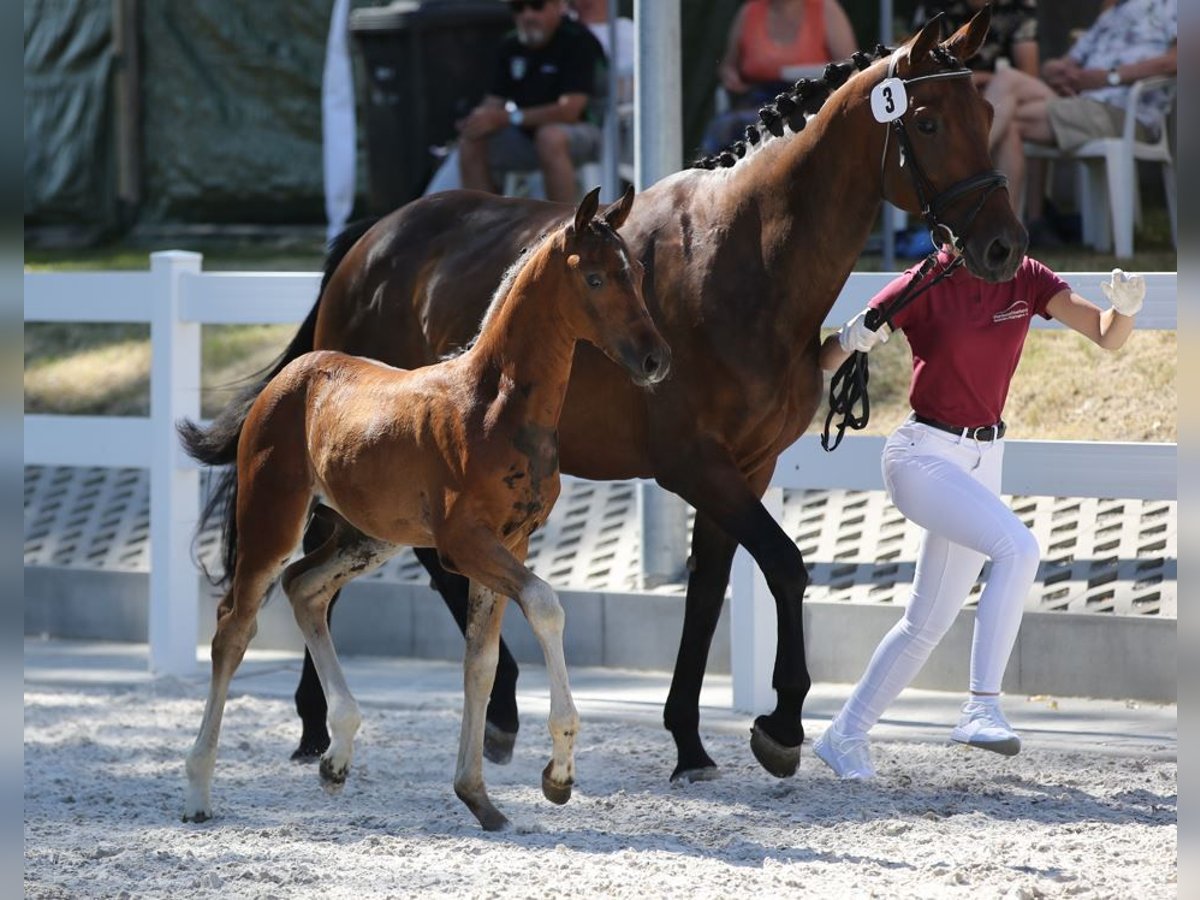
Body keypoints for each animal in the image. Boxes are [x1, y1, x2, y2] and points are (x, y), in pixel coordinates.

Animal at [178, 188, 672, 830]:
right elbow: (545, 606)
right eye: (594, 277)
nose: (656, 359)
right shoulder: (466, 545)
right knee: (234, 627)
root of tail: (290, 374)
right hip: (273, 517)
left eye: (633, 273)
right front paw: (557, 774)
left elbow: (479, 664)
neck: (494, 406)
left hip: (369, 534)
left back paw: (336, 753)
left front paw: (479, 796)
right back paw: (198, 790)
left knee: (304, 587)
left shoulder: (511, 542)